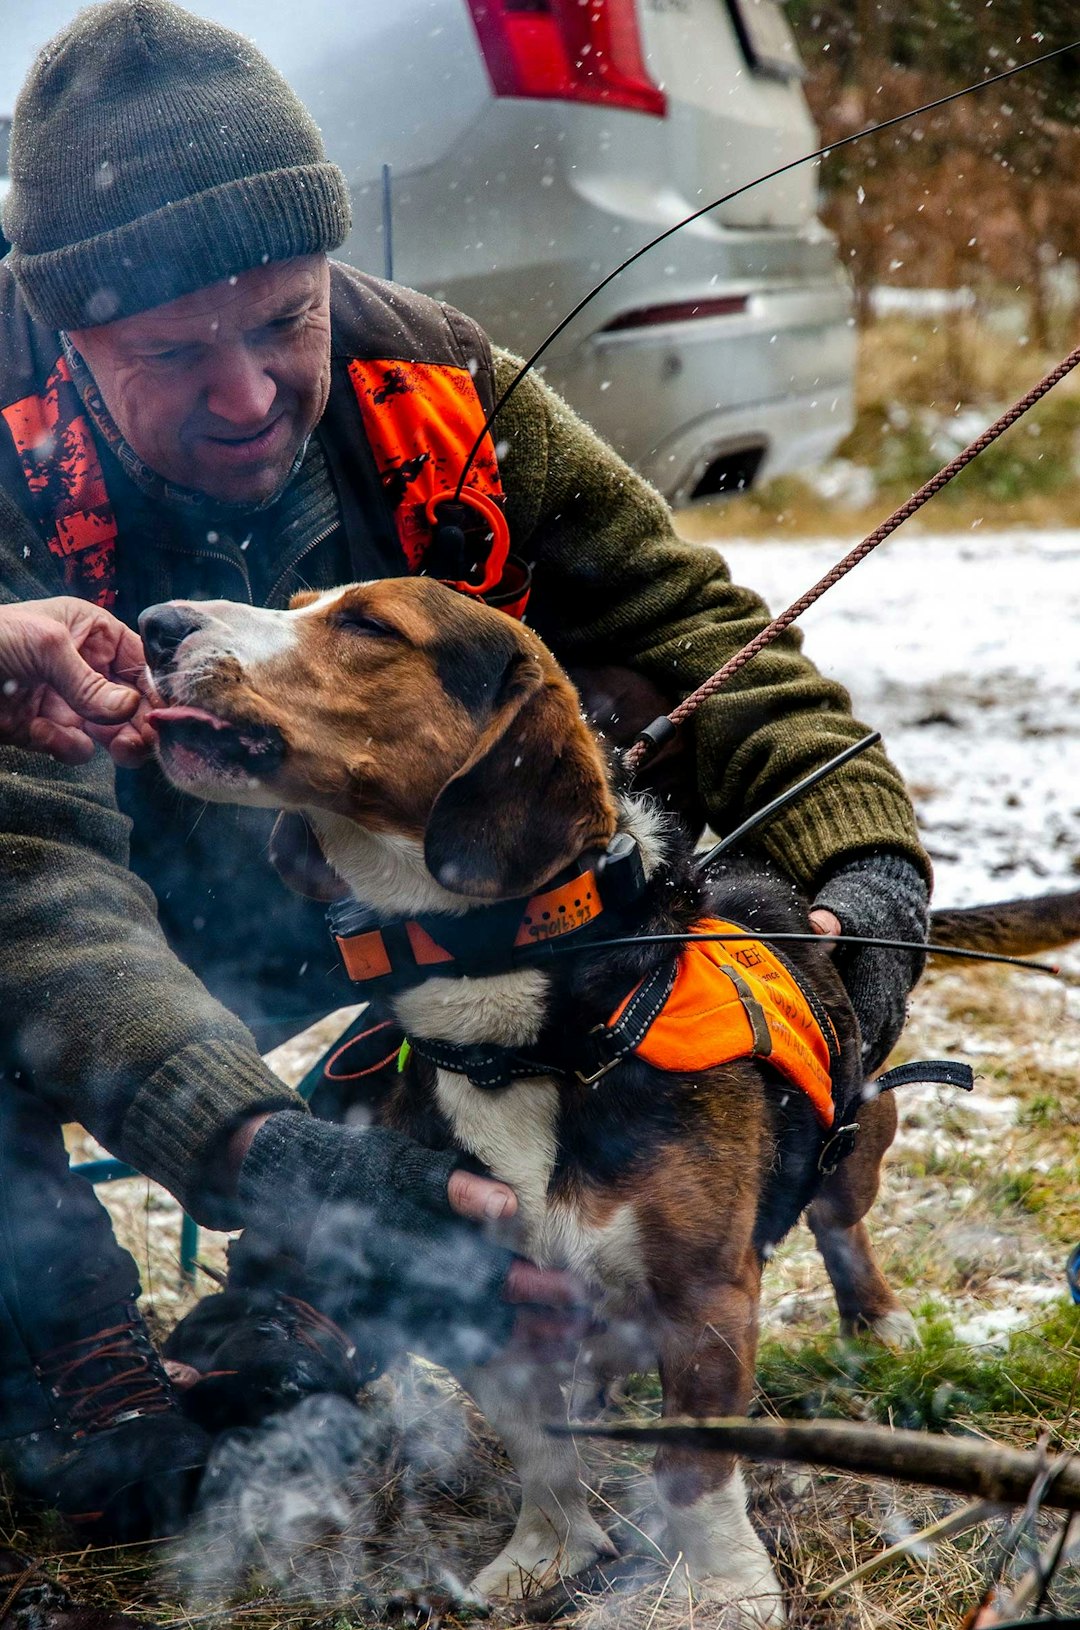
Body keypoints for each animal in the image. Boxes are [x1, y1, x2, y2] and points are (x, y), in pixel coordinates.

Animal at [137, 580, 1022, 1623]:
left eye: (368, 625)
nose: (153, 628)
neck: (512, 1032)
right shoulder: (479, 1296)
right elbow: (539, 1450)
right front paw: (547, 1550)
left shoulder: (705, 1297)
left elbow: (694, 1467)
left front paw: (728, 1587)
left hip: (857, 1141)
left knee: (842, 1223)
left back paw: (876, 1324)